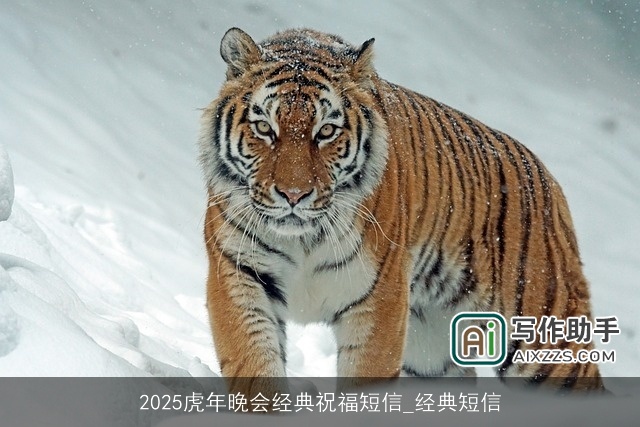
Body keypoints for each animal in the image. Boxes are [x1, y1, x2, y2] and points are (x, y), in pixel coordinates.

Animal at [198, 27, 604, 398]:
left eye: (326, 131)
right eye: (264, 127)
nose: (294, 194)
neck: (303, 239)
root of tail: (551, 183)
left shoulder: (379, 299)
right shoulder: (239, 273)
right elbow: (254, 364)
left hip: (544, 338)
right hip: (432, 351)